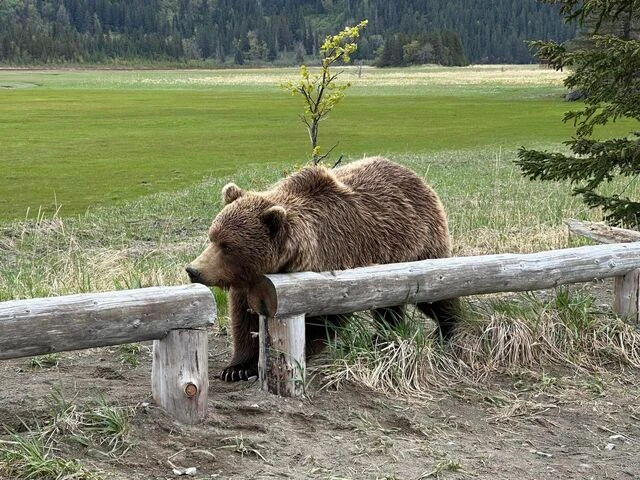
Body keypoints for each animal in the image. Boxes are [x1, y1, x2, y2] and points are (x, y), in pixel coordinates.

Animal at [186, 156, 460, 382]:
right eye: (212, 237)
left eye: (228, 246)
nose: (193, 270)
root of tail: (418, 179)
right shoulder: (249, 282)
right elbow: (244, 319)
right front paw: (237, 368)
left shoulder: (334, 268)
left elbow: (324, 320)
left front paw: (291, 355)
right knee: (389, 306)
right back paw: (383, 337)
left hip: (420, 247)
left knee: (435, 295)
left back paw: (447, 331)